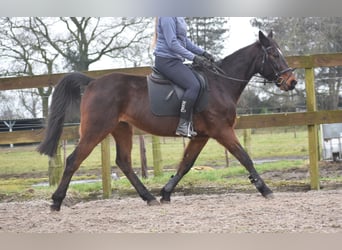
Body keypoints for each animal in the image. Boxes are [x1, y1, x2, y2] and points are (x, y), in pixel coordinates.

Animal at [38, 31, 296, 211]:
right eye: (274, 54)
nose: (291, 82)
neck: (220, 84)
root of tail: (92, 82)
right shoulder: (222, 131)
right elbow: (245, 157)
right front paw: (265, 189)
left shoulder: (201, 136)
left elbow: (186, 164)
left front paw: (165, 193)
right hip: (95, 129)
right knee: (74, 160)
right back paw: (56, 202)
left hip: (121, 129)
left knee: (124, 162)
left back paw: (149, 197)